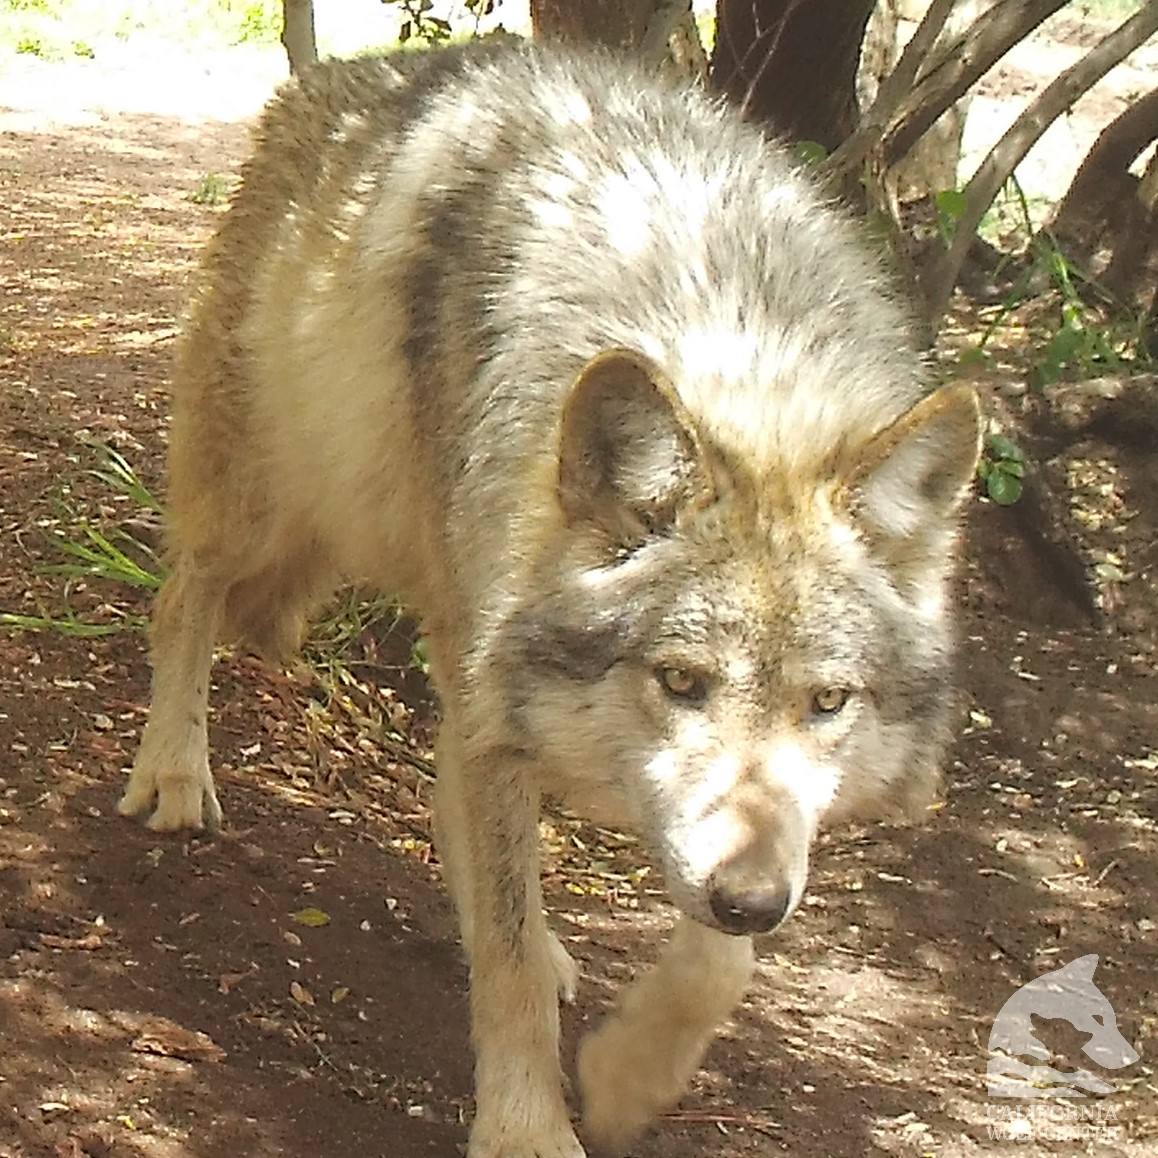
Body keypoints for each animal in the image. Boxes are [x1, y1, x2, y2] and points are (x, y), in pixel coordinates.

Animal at [118, 38, 980, 1158]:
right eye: (679, 680)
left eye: (829, 702)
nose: (749, 899)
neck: (733, 339)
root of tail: (327, 80)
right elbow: (513, 970)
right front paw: (527, 1126)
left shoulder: (746, 847)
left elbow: (717, 965)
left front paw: (627, 1076)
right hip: (262, 499)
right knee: (185, 598)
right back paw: (174, 774)